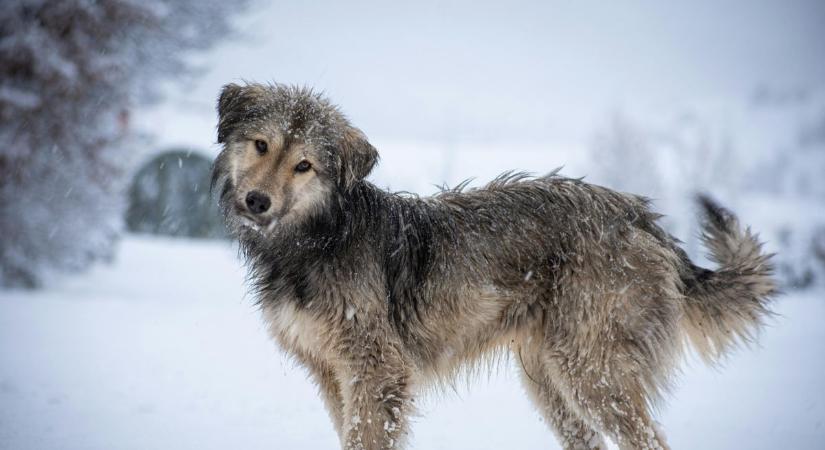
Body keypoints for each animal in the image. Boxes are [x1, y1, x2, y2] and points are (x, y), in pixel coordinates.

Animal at [211, 83, 772, 450]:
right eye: (260, 145)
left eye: (304, 165)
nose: (257, 201)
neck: (320, 235)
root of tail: (642, 217)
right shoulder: (333, 374)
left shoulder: (377, 370)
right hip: (550, 380)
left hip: (594, 371)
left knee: (647, 440)